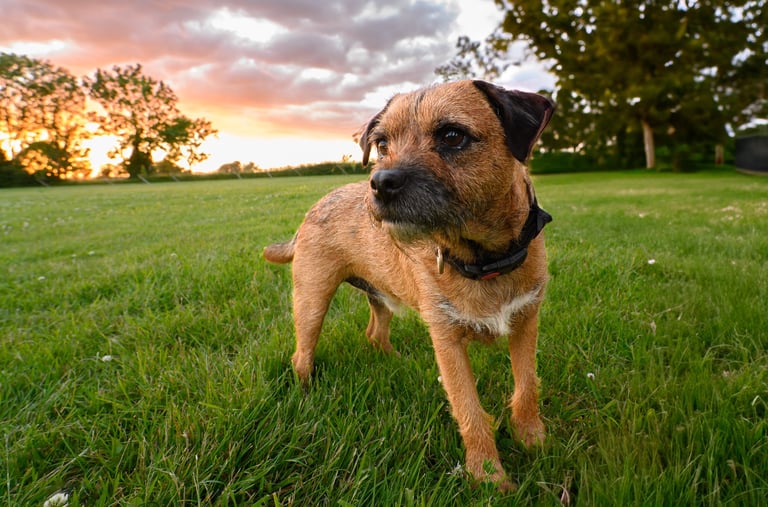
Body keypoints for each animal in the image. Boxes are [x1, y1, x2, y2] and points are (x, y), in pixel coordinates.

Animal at [264, 80, 554, 489]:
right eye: (382, 144)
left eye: (452, 135)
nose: (380, 183)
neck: (483, 259)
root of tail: (313, 208)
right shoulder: (447, 340)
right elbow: (469, 410)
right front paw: (489, 477)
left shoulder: (526, 321)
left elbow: (527, 387)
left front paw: (533, 440)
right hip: (311, 299)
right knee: (301, 355)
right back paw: (306, 395)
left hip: (380, 295)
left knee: (374, 333)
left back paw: (395, 361)